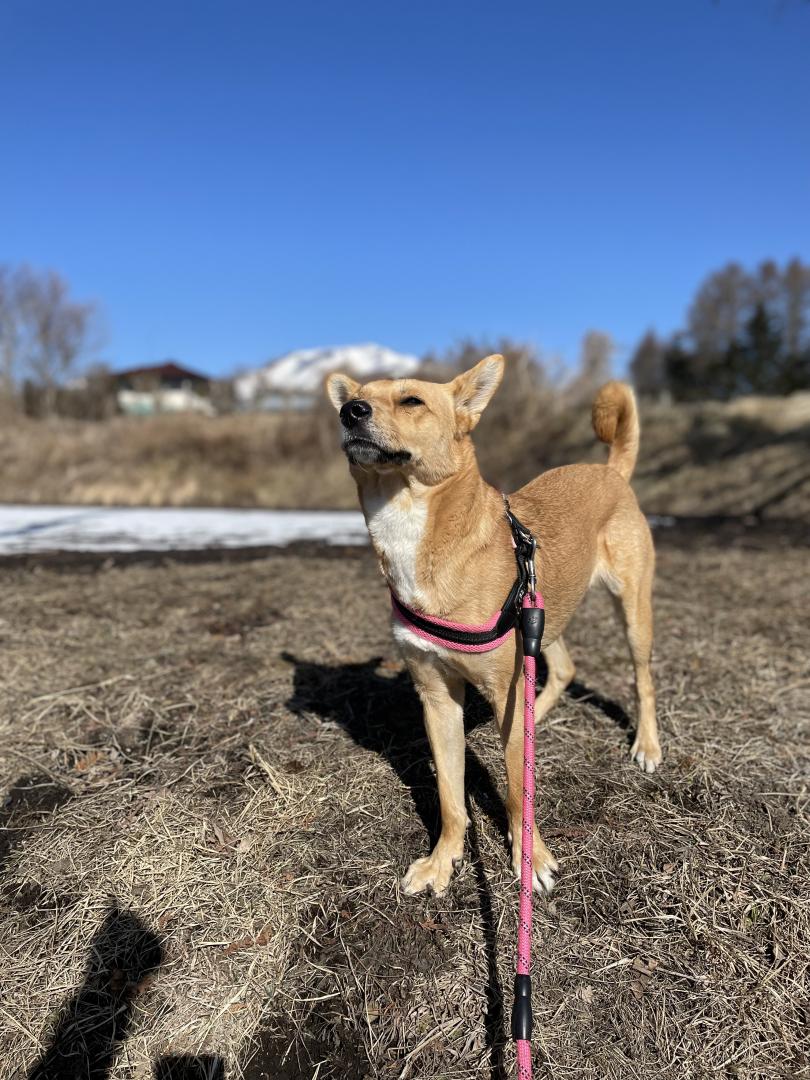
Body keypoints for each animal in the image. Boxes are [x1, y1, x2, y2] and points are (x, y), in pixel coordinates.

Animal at [326, 354, 660, 894]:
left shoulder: (502, 685)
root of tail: (611, 472)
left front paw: (530, 858)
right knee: (562, 668)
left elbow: (519, 791)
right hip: (539, 612)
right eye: (358, 398)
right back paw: (536, 719)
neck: (411, 521)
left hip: (630, 613)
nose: (350, 411)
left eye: (412, 400)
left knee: (643, 679)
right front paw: (443, 860)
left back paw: (647, 744)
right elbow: (449, 796)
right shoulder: (437, 698)